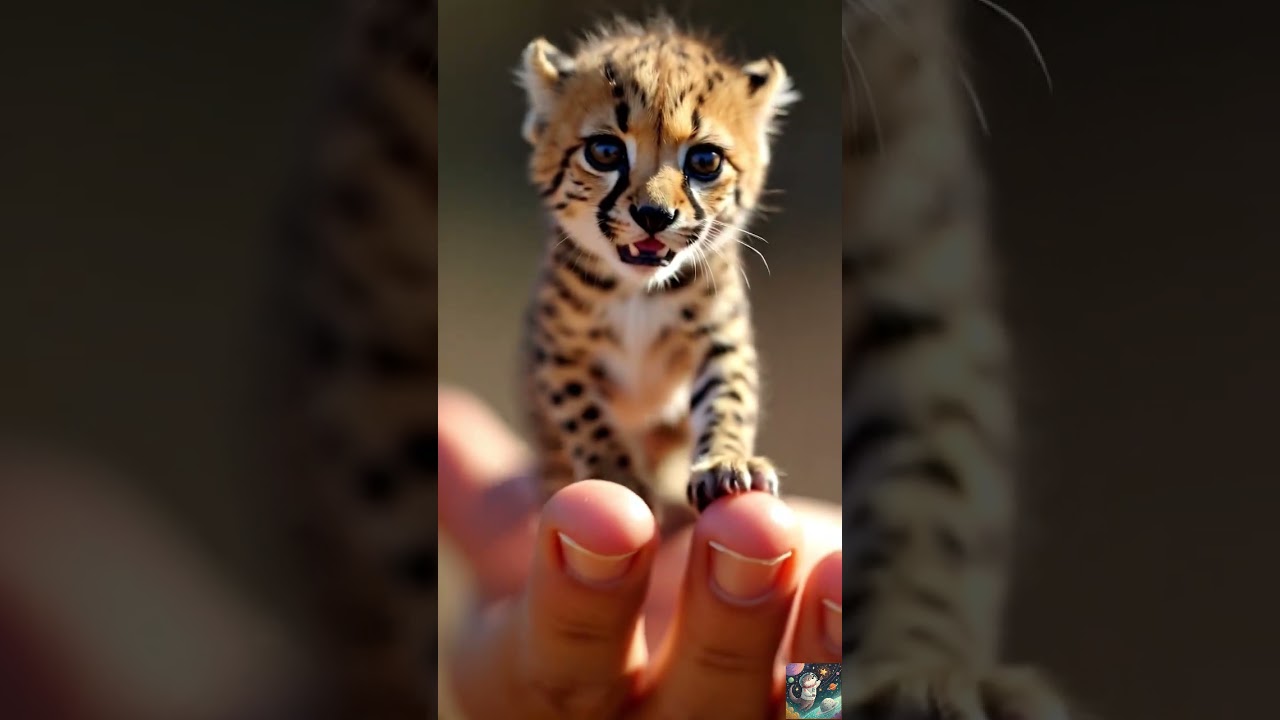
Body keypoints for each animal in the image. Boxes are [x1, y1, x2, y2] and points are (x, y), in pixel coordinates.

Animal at [515, 15, 799, 527]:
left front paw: (726, 462)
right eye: (605, 152)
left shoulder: (719, 337)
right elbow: (584, 413)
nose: (653, 215)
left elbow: (730, 397)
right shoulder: (560, 352)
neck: (638, 292)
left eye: (705, 161)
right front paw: (615, 475)